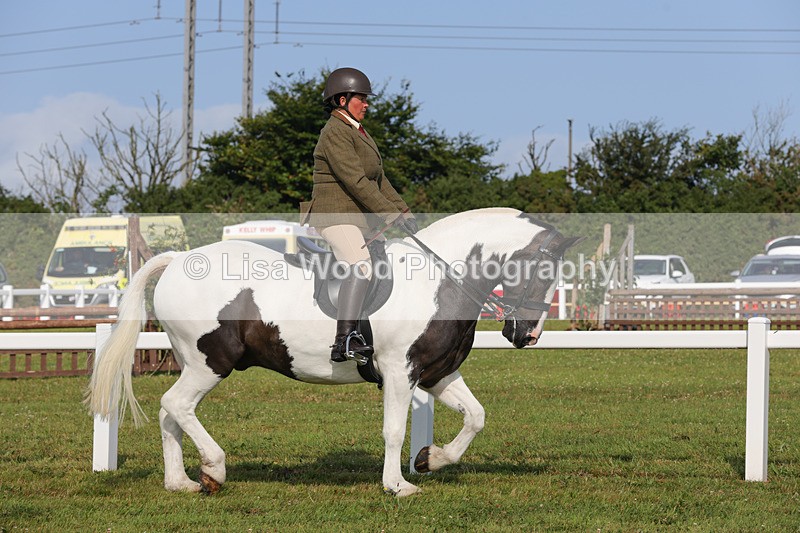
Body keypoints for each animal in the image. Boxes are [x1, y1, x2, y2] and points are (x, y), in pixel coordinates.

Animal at [87, 207, 581, 497]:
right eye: (541, 271)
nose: (527, 335)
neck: (441, 279)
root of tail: (177, 260)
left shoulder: (437, 373)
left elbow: (475, 417)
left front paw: (431, 459)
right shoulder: (400, 371)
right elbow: (393, 431)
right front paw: (397, 485)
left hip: (194, 363)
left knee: (171, 412)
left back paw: (182, 482)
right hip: (211, 362)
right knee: (176, 405)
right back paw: (215, 469)